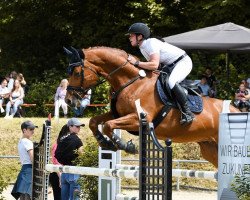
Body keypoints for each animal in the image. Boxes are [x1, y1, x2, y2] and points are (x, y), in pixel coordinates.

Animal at [63, 46, 239, 167]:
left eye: (76, 73)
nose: (68, 101)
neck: (131, 82)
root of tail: (237, 110)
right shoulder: (117, 113)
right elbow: (94, 121)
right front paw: (105, 143)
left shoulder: (139, 119)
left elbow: (108, 125)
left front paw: (124, 145)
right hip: (210, 149)